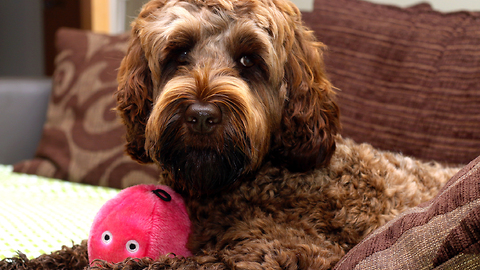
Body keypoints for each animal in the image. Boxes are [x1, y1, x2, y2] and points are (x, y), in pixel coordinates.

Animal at [0, 0, 460, 270]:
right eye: (179, 53)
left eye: (249, 60)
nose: (202, 116)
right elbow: (77, 250)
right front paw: (29, 262)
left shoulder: (280, 251)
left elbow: (159, 263)